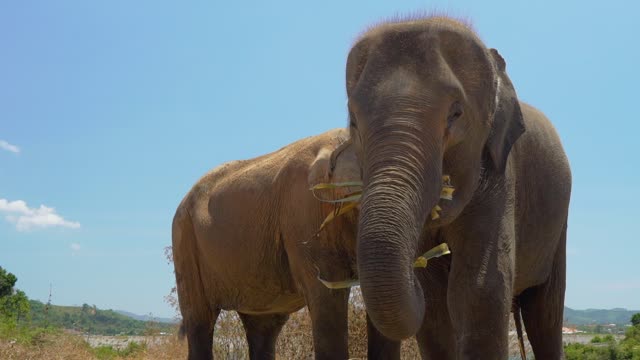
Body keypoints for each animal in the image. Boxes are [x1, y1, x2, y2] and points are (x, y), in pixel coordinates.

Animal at [342, 15, 572, 358]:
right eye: (353, 121)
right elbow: (436, 308)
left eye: (456, 113)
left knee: (545, 312)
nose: (414, 269)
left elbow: (480, 288)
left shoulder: (498, 170)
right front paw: (428, 277)